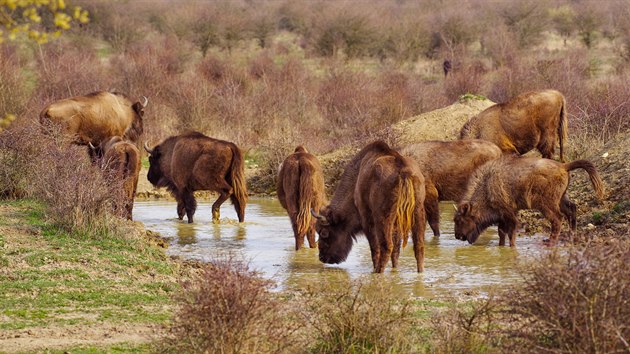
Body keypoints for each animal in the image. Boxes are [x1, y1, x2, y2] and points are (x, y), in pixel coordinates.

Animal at [312, 141, 430, 274]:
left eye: (324, 233)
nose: (322, 257)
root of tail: (403, 170)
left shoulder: (366, 219)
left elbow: (375, 248)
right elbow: (396, 250)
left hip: (382, 219)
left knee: (386, 246)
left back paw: (377, 271)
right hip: (418, 212)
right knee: (418, 246)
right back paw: (420, 272)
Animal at [454, 156, 608, 248]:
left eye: (460, 220)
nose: (457, 236)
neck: (487, 185)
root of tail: (564, 166)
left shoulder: (508, 213)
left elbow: (510, 232)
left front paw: (512, 246)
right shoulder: (502, 216)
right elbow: (501, 232)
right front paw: (501, 246)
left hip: (547, 205)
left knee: (558, 219)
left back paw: (550, 242)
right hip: (561, 199)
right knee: (572, 210)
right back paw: (571, 237)